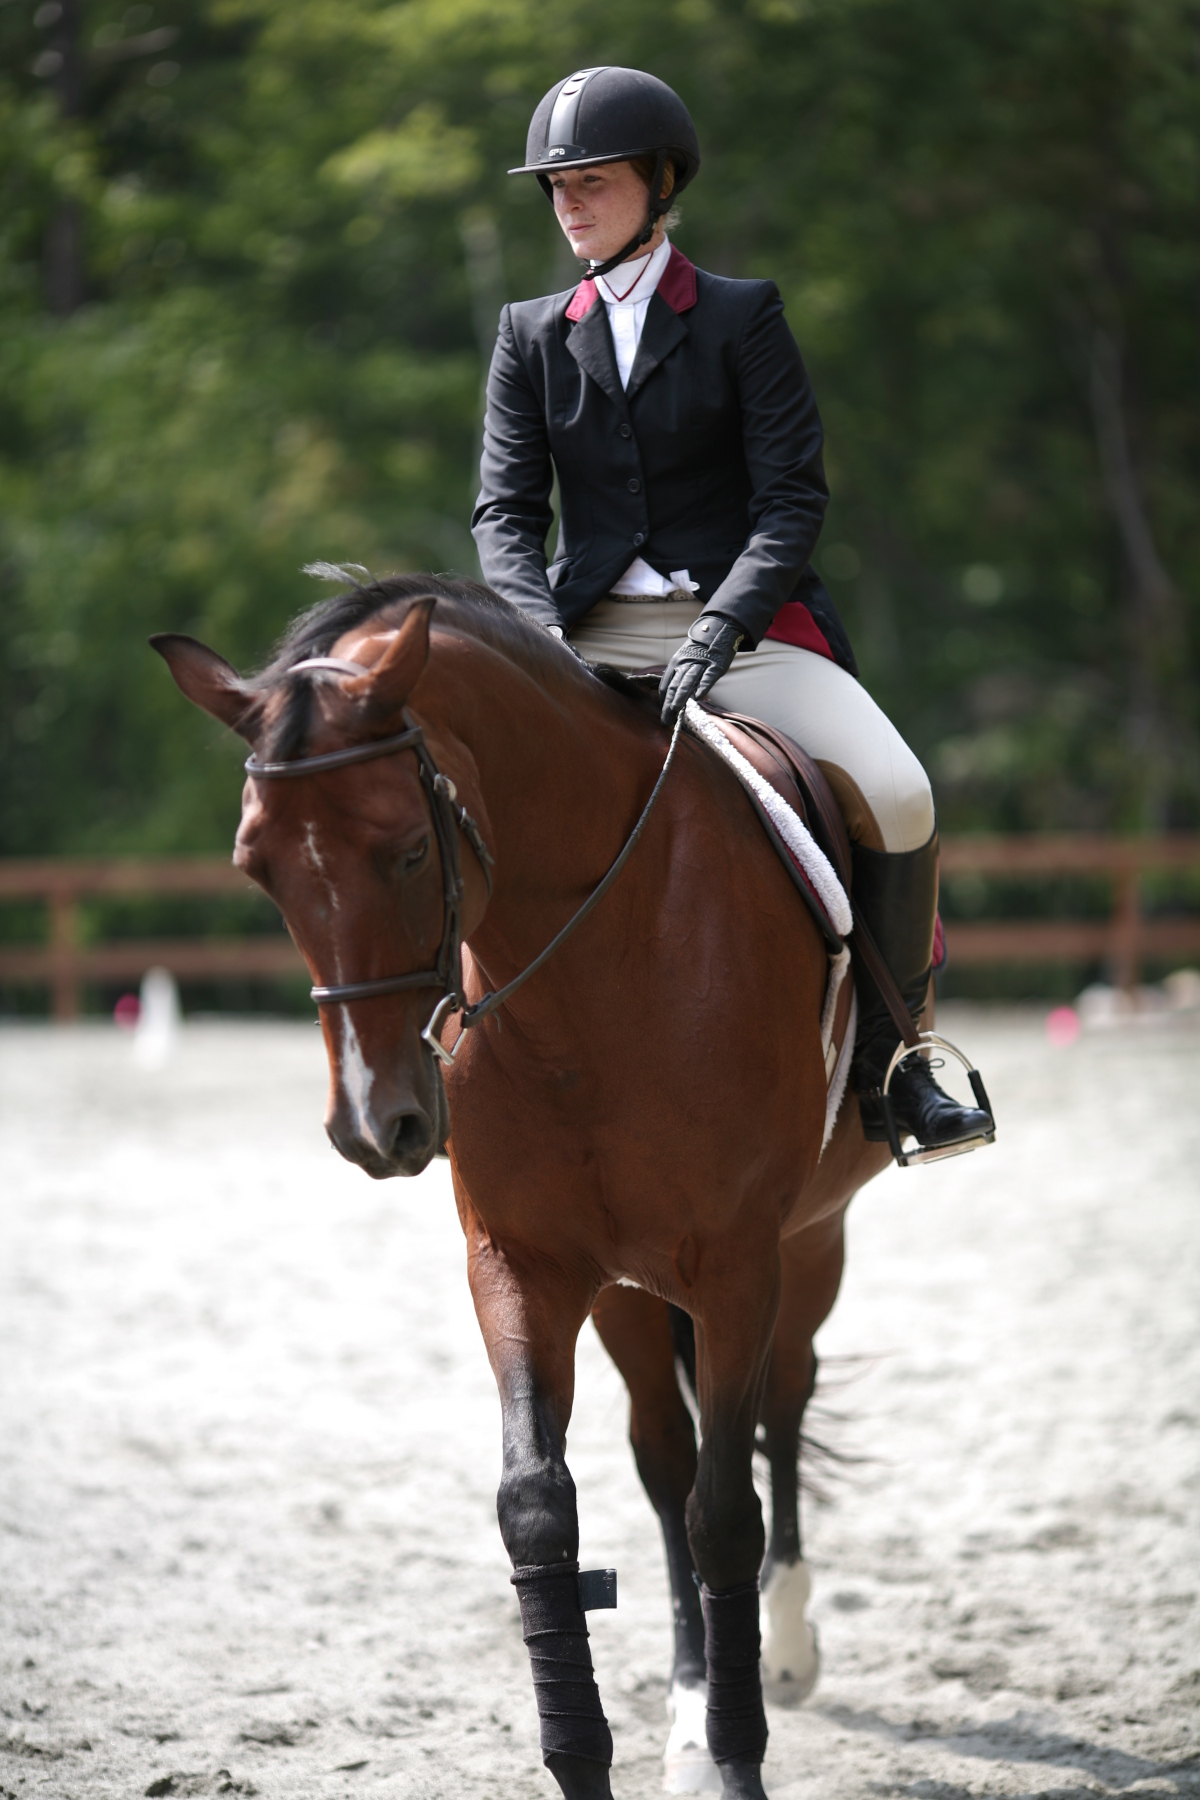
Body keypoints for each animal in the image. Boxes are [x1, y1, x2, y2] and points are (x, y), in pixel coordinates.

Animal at [154, 576, 895, 1800]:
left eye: (411, 851)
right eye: (257, 866)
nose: (377, 1125)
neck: (588, 973)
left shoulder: (739, 1264)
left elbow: (728, 1513)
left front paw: (739, 1755)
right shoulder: (523, 1266)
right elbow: (542, 1512)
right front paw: (598, 1749)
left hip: (809, 1242)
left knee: (780, 1411)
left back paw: (783, 1649)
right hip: (634, 1292)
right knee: (665, 1459)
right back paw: (689, 1706)